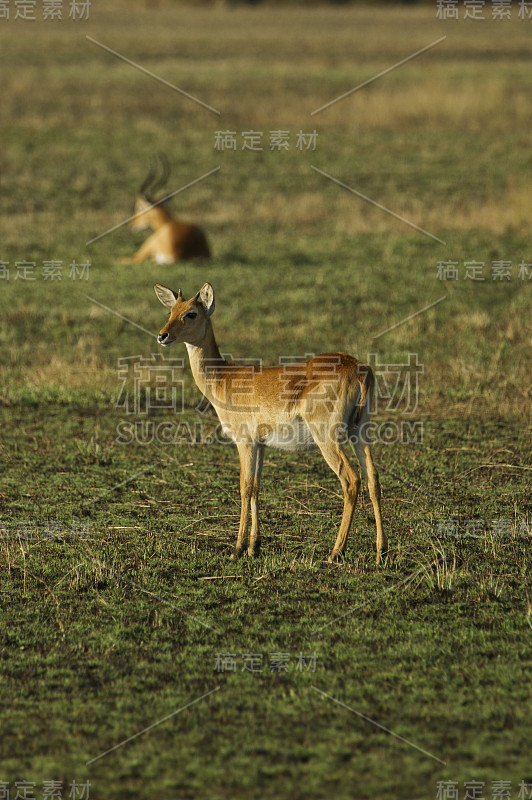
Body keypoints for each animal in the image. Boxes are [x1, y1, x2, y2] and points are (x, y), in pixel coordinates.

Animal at [154, 284, 386, 564]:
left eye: (191, 313)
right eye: (170, 310)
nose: (162, 335)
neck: (223, 378)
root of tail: (361, 369)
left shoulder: (244, 441)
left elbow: (244, 488)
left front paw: (236, 549)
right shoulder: (261, 445)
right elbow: (256, 487)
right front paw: (253, 546)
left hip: (328, 438)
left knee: (351, 480)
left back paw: (335, 552)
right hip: (360, 432)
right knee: (373, 479)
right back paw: (381, 551)